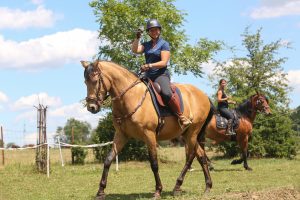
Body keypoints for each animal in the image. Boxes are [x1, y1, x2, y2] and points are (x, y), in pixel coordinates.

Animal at [79, 60, 211, 199]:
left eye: (95, 81)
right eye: (85, 82)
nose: (91, 107)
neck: (130, 97)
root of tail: (204, 96)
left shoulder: (149, 135)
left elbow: (154, 163)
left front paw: (158, 190)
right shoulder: (121, 135)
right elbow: (108, 160)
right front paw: (100, 191)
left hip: (192, 133)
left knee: (190, 157)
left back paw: (177, 186)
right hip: (187, 134)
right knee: (201, 156)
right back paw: (207, 187)